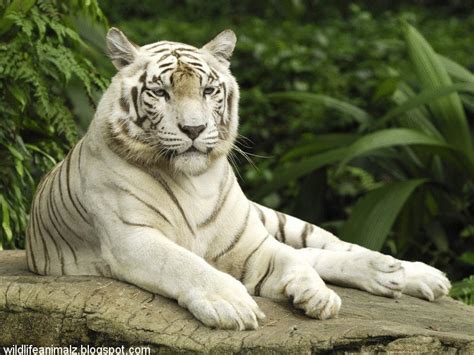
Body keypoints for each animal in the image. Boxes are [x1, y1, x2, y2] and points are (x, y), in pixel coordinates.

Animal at [26, 27, 452, 330]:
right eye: (160, 92)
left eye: (208, 90)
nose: (194, 129)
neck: (193, 181)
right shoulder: (132, 238)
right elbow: (184, 263)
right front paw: (231, 304)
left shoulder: (249, 243)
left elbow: (293, 260)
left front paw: (317, 296)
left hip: (274, 219)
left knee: (325, 246)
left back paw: (408, 273)